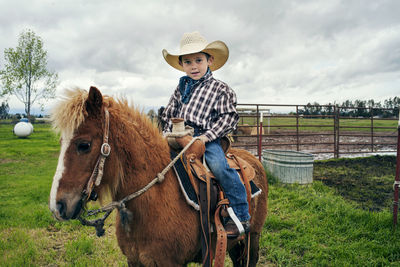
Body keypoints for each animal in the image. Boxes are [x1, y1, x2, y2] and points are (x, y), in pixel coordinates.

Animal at [49, 87, 268, 266]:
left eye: (84, 145)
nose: (57, 206)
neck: (153, 199)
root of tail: (253, 159)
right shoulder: (134, 261)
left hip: (253, 237)